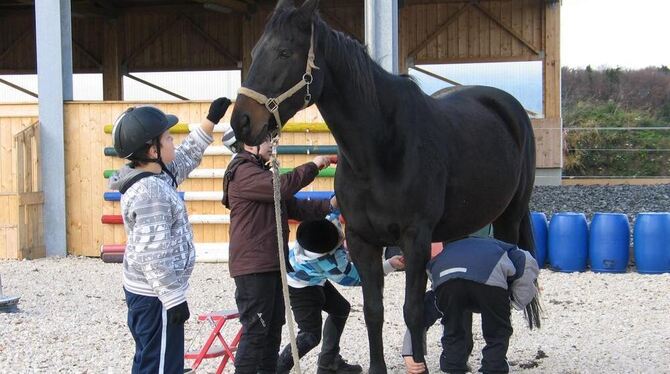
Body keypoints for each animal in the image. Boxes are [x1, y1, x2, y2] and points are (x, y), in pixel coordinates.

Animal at [231, 1, 540, 372]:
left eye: (284, 52)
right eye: (254, 52)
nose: (241, 122)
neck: (381, 150)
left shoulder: (416, 238)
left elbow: (413, 310)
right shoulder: (362, 240)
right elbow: (373, 311)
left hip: (510, 216)